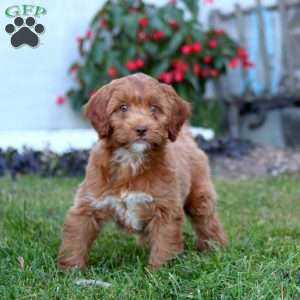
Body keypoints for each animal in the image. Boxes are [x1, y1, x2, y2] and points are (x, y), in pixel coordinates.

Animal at [58, 72, 225, 270]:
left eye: (154, 108)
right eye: (123, 107)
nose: (141, 129)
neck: (131, 160)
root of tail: (186, 136)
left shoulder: (165, 209)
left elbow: (164, 244)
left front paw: (158, 271)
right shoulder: (88, 203)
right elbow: (77, 238)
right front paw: (71, 269)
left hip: (199, 196)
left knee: (207, 221)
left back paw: (215, 248)